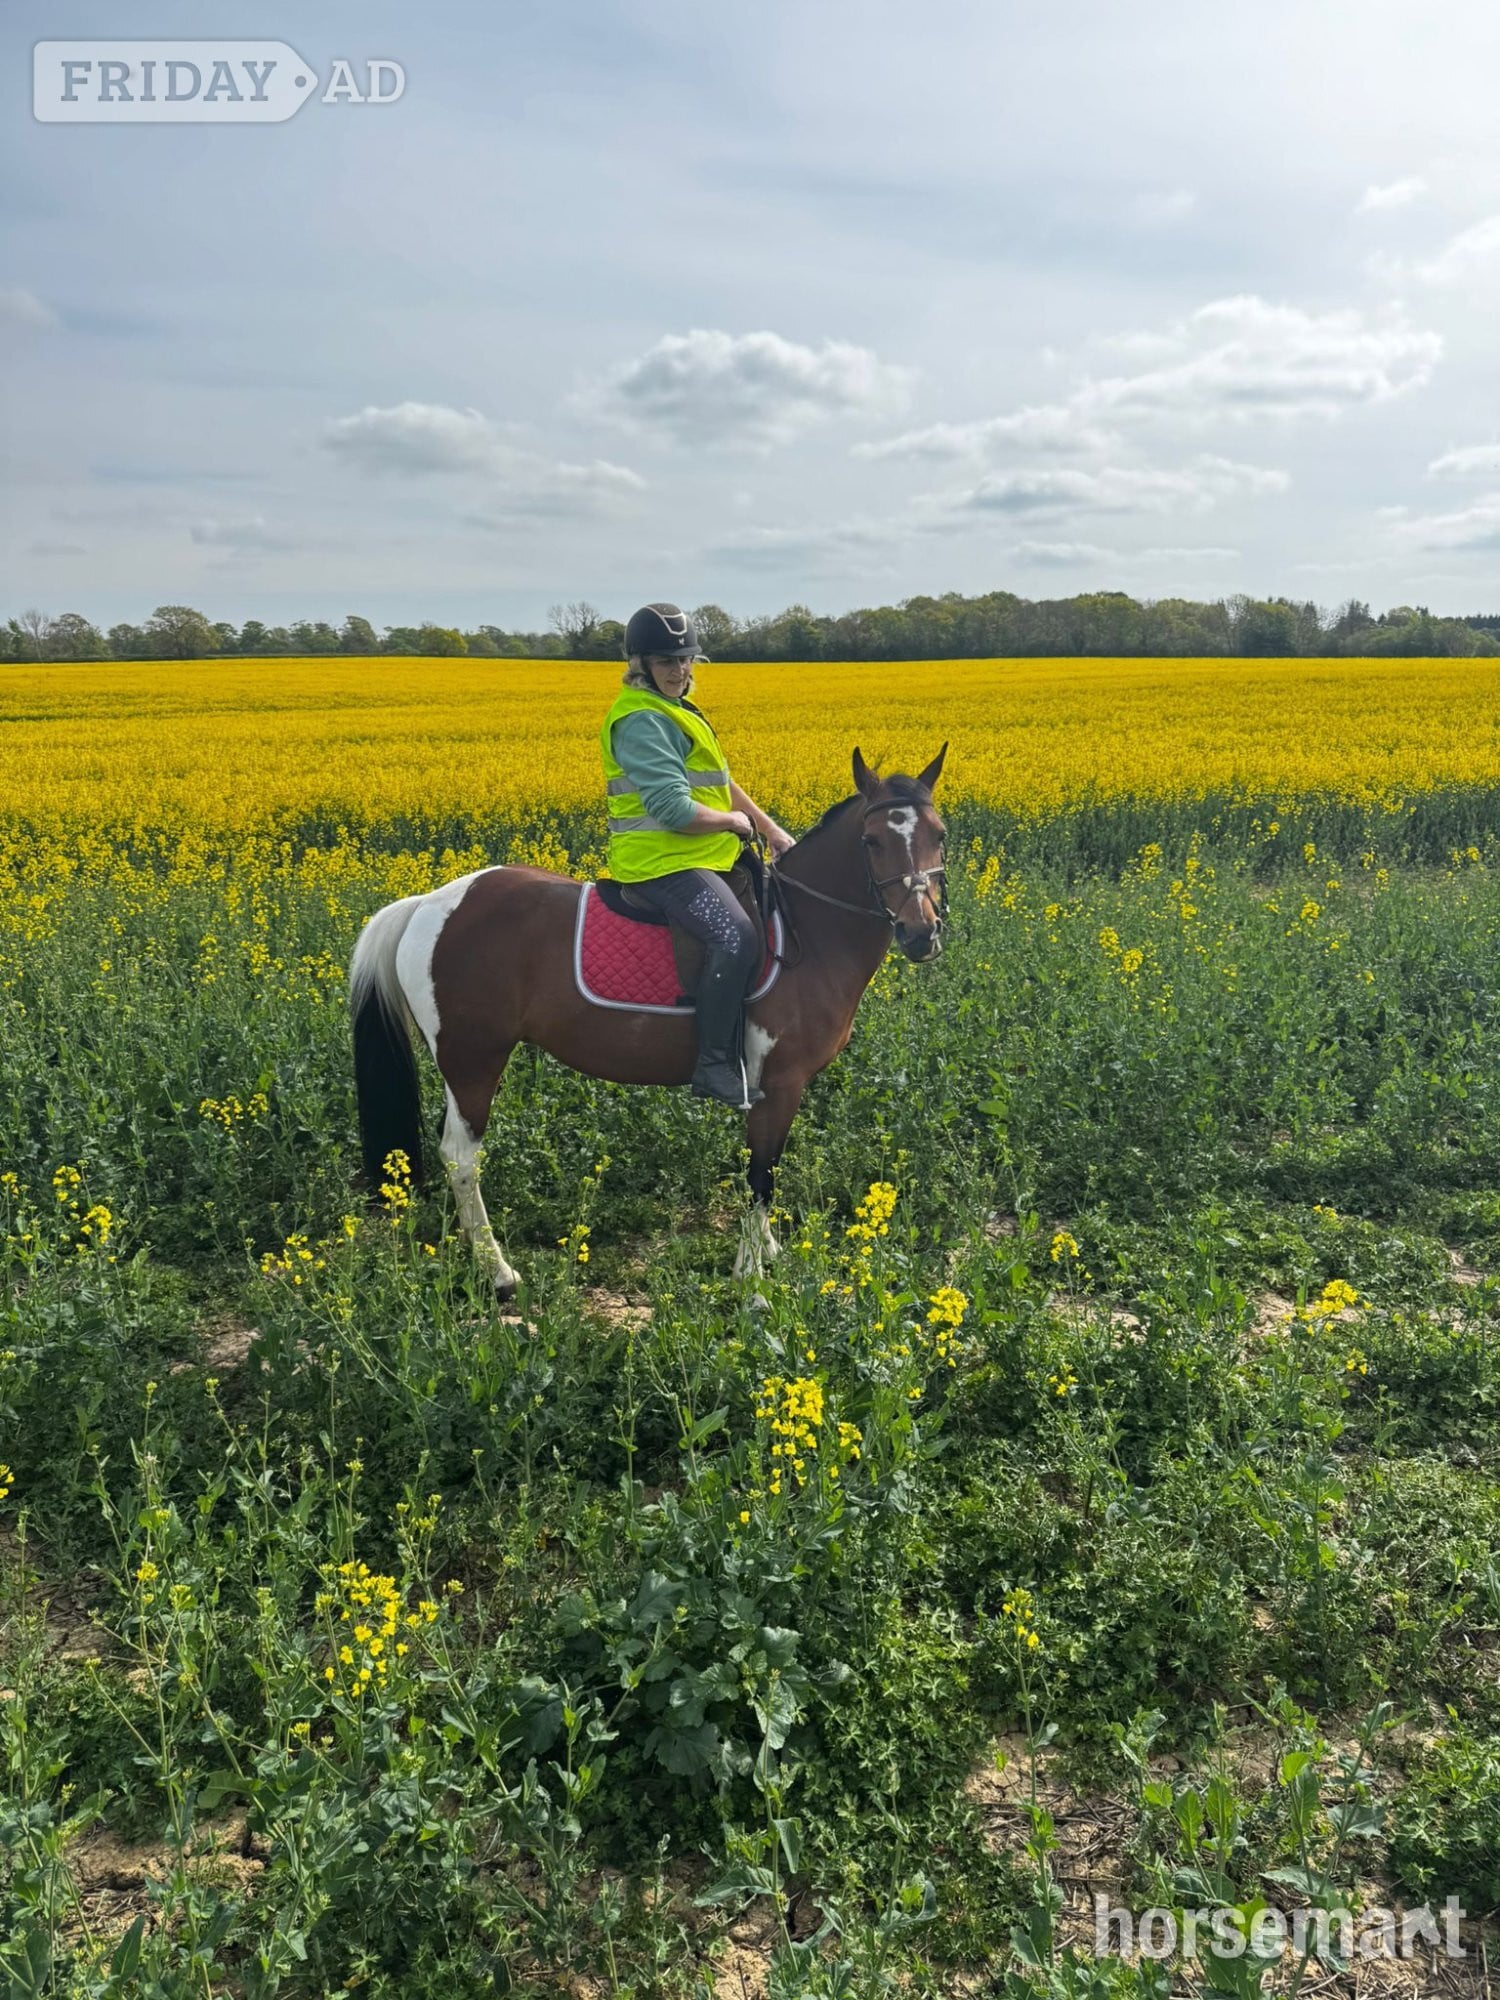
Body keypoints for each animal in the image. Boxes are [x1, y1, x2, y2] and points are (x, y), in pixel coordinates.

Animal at [348, 744, 948, 1297]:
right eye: (872, 841)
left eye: (939, 835)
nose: (921, 933)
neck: (807, 929)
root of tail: (428, 903)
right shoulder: (779, 1082)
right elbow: (761, 1173)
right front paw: (750, 1275)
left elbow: (765, 1168)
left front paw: (767, 1249)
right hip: (474, 1059)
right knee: (460, 1157)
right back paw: (499, 1273)